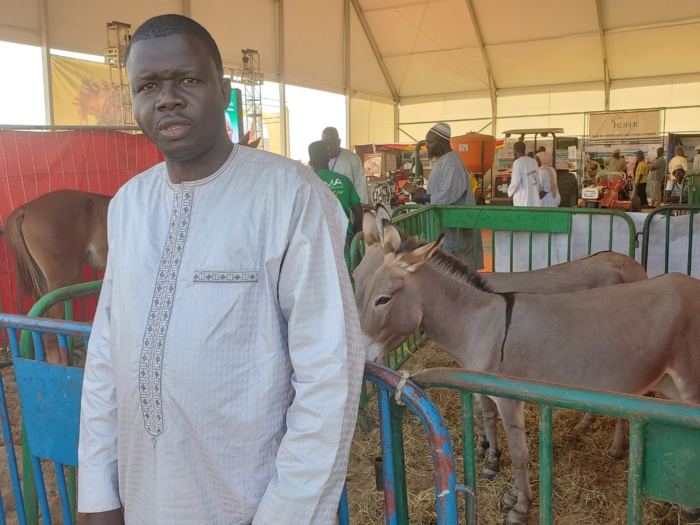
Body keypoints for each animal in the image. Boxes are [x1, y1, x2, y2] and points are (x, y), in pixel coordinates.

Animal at [358, 228, 700, 524]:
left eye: (382, 299)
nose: (360, 359)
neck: (482, 323)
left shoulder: (509, 398)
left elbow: (519, 453)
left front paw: (520, 506)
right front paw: (510, 491)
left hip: (688, 382)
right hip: (666, 380)